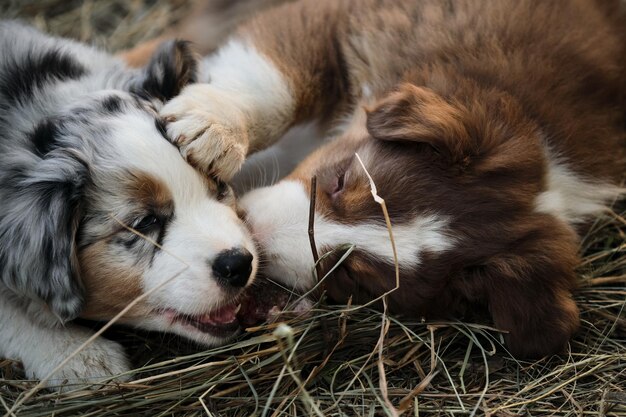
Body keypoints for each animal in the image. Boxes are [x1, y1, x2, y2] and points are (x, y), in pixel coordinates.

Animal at [162, 0, 624, 358]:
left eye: (352, 276)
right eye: (340, 180)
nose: (253, 239)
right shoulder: (352, 20)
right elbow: (278, 85)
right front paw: (212, 128)